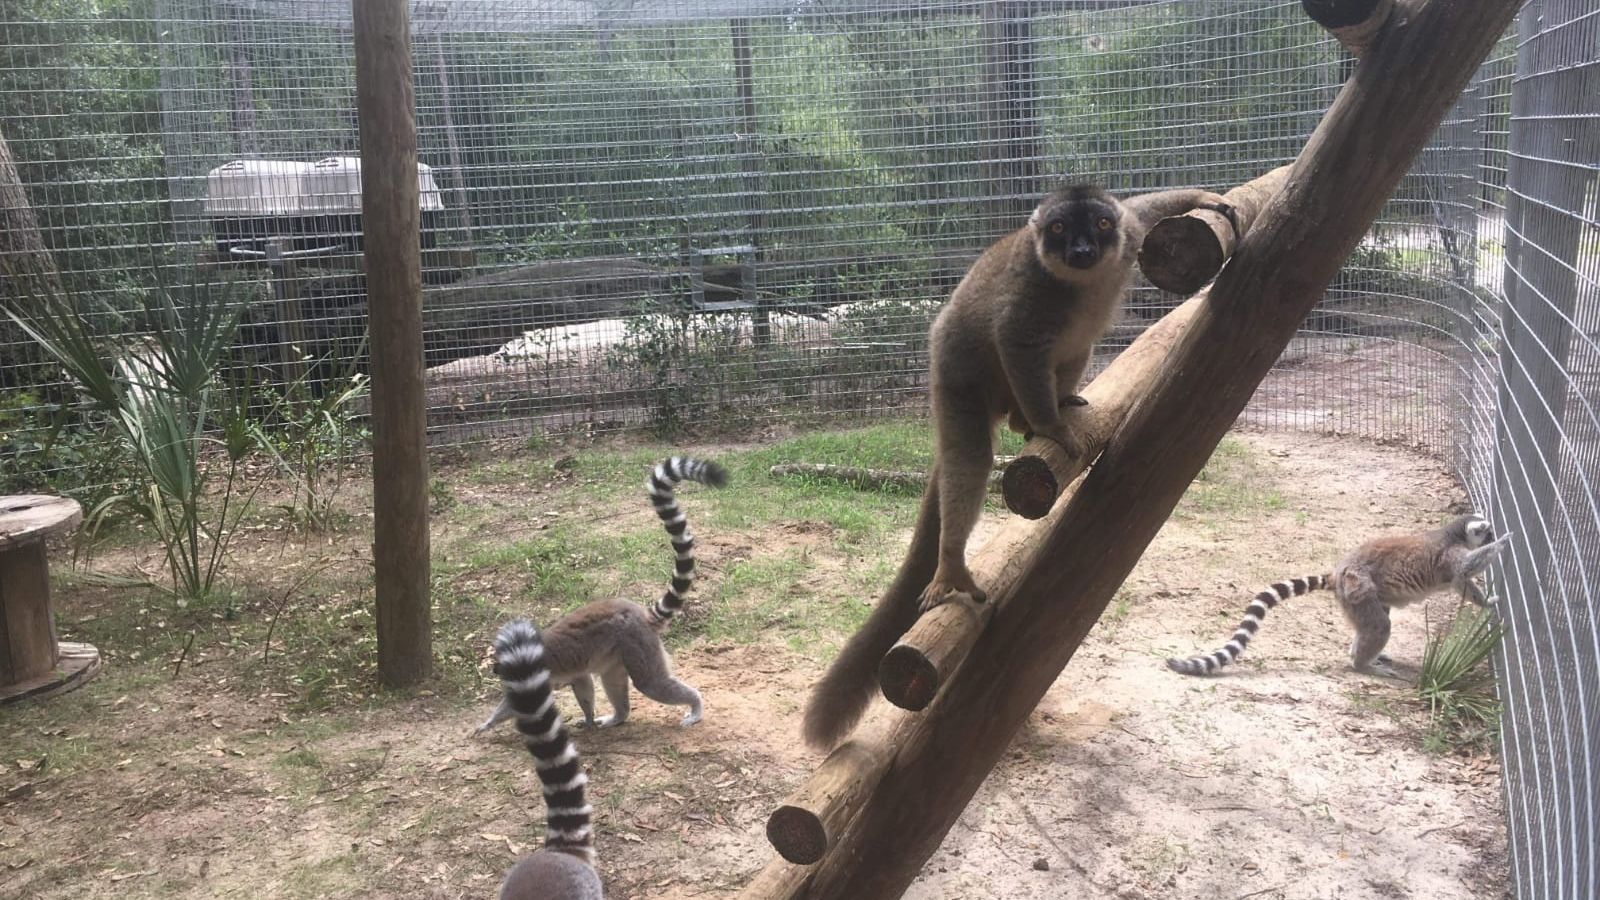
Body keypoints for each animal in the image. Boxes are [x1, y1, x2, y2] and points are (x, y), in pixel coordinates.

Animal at [477, 457, 726, 735]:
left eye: (499, 667)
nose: (496, 671)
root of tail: (640, 615)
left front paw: (487, 724)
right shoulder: (573, 674)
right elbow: (583, 684)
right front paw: (588, 718)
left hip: (637, 643)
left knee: (650, 682)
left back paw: (695, 706)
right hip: (617, 654)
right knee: (614, 681)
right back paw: (618, 716)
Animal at [801, 185, 1238, 750]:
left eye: (1099, 226)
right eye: (1059, 230)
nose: (1080, 250)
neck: (1082, 282)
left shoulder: (1130, 234)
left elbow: (1144, 207)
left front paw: (1208, 196)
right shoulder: (1031, 297)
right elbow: (1017, 343)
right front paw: (1051, 428)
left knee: (1072, 354)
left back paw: (1031, 415)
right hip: (954, 372)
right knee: (971, 457)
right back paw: (954, 555)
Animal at [1166, 514, 1512, 677]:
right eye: (1487, 533)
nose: (1494, 534)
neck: (1454, 533)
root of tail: (1339, 571)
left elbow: (1464, 581)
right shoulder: (1450, 557)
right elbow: (1466, 571)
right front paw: (1505, 543)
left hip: (1360, 597)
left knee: (1372, 623)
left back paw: (1361, 655)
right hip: (1359, 588)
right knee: (1379, 626)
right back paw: (1363, 665)